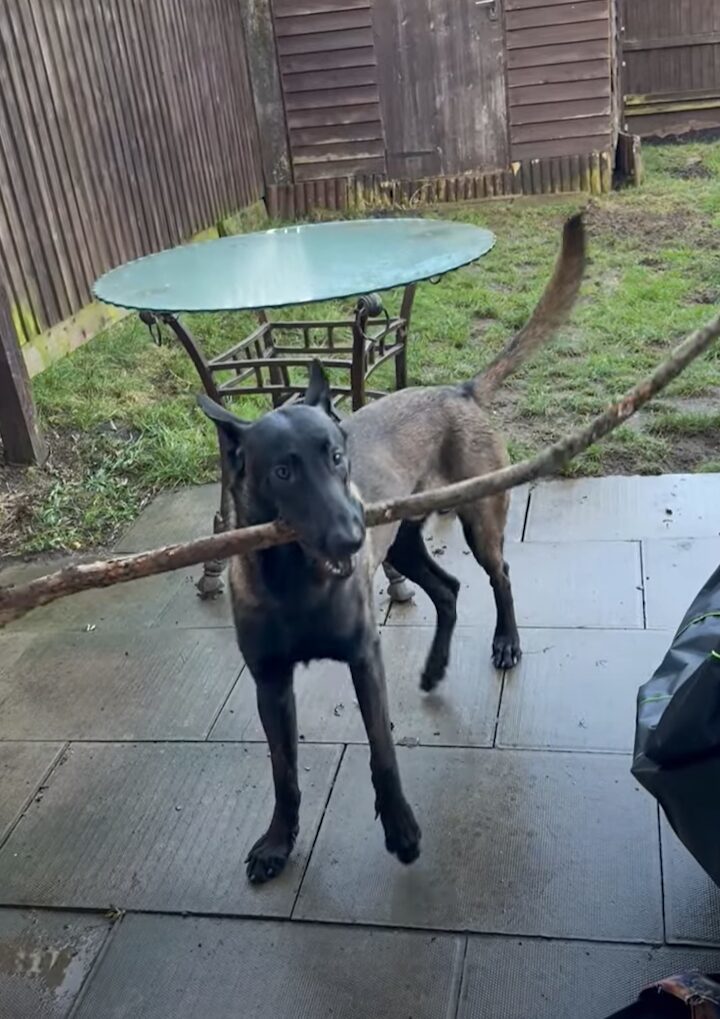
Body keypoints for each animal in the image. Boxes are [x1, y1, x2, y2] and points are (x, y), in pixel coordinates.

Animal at [199, 212, 590, 884]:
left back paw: (506, 643)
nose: (352, 535)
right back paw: (434, 666)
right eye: (282, 471)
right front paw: (279, 841)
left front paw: (403, 830)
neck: (296, 581)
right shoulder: (270, 682)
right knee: (448, 590)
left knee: (500, 575)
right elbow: (282, 771)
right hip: (403, 547)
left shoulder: (364, 659)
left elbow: (382, 750)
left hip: (478, 519)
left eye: (337, 455)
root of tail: (458, 390)